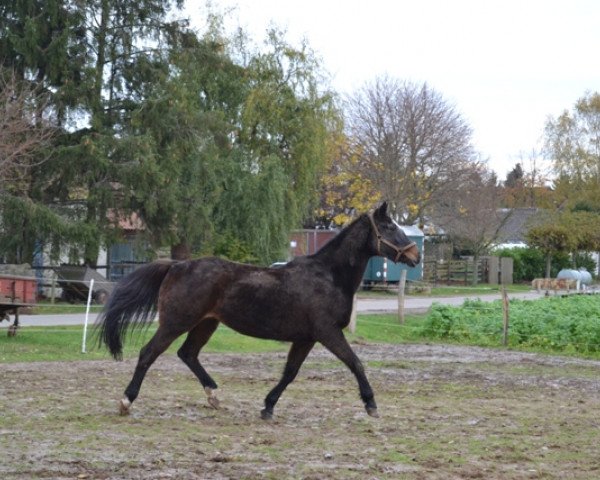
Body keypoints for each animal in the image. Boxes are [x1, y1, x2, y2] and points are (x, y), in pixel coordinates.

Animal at [96, 201, 420, 418]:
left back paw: (214, 396)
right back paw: (126, 401)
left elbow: (290, 373)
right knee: (149, 353)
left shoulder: (306, 338)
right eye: (389, 227)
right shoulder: (327, 333)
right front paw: (371, 404)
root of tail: (177, 265)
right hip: (176, 322)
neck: (328, 276)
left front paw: (268, 406)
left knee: (187, 354)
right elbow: (355, 363)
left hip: (206, 323)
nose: (415, 255)